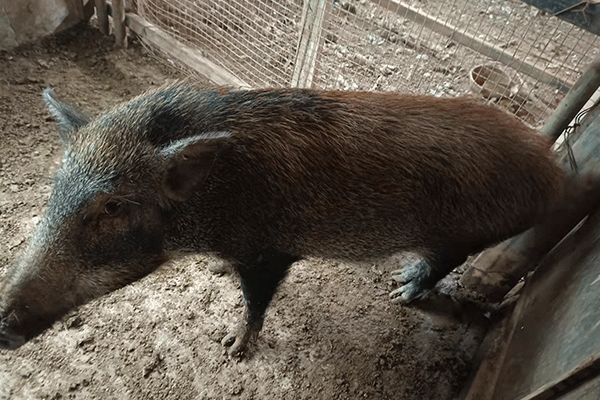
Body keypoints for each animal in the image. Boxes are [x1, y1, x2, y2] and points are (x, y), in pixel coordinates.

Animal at [0, 82, 588, 356]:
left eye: (113, 206)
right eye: (55, 186)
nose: (3, 323)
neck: (212, 200)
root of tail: (552, 171)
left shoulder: (271, 250)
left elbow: (256, 303)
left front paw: (233, 349)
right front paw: (217, 275)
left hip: (467, 234)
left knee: (442, 264)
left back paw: (400, 291)